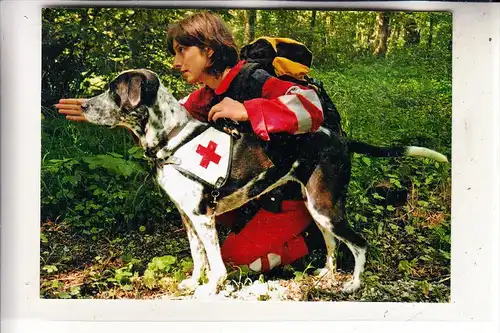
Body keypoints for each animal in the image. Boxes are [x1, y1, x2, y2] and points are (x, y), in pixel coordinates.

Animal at [79, 68, 450, 296]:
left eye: (113, 90)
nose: (81, 105)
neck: (172, 138)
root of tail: (340, 138)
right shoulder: (187, 217)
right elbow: (198, 257)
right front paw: (193, 282)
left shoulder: (203, 217)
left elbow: (215, 263)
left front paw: (210, 288)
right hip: (316, 207)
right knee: (332, 244)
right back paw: (326, 275)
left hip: (326, 206)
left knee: (358, 244)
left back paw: (353, 285)